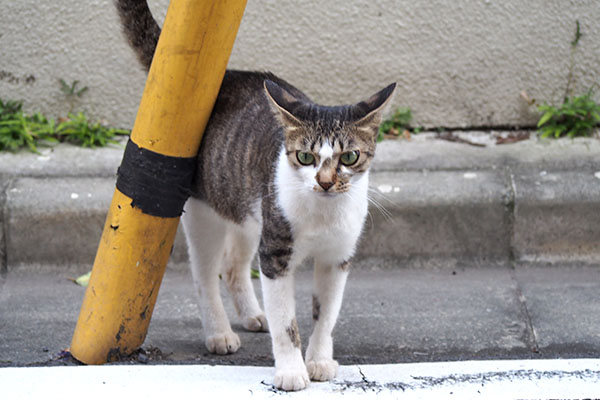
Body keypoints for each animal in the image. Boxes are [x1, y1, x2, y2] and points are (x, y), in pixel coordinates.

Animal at [116, 0, 394, 390]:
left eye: (350, 157)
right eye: (305, 157)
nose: (325, 182)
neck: (322, 215)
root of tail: (226, 76)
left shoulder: (338, 256)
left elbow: (326, 315)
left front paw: (320, 360)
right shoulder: (275, 253)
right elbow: (286, 322)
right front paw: (291, 371)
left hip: (248, 210)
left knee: (233, 266)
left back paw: (251, 314)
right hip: (206, 212)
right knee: (205, 276)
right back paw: (218, 333)